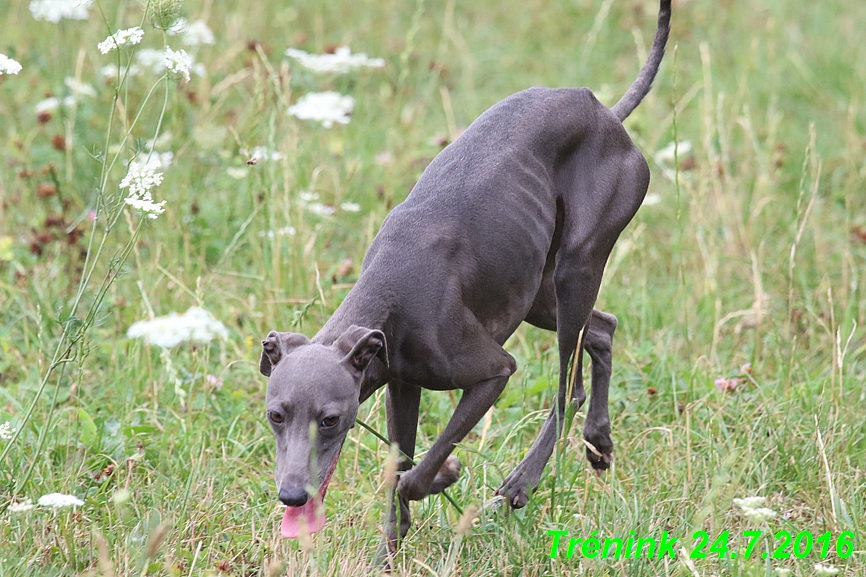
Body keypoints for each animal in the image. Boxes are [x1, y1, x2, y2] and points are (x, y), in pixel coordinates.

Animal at [260, 0, 672, 560]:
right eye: (276, 415)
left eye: (330, 419)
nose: (291, 495)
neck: (388, 294)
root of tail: (605, 111)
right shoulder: (401, 383)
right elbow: (398, 466)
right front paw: (389, 552)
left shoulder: (492, 372)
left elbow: (415, 473)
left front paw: (447, 473)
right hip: (536, 290)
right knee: (603, 328)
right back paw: (599, 442)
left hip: (578, 267)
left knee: (568, 388)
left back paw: (522, 483)